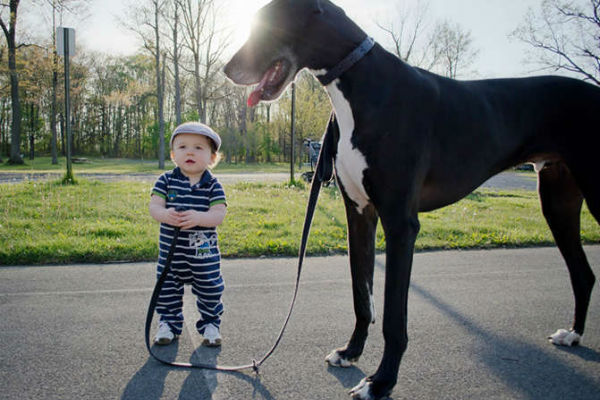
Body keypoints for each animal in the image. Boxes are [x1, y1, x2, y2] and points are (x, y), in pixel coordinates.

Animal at [223, 0, 596, 400]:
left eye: (267, 24)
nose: (227, 70)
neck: (360, 83)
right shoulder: (359, 215)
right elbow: (362, 296)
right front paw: (351, 352)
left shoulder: (401, 223)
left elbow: (392, 317)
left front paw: (381, 382)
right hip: (556, 200)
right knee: (583, 273)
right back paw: (574, 334)